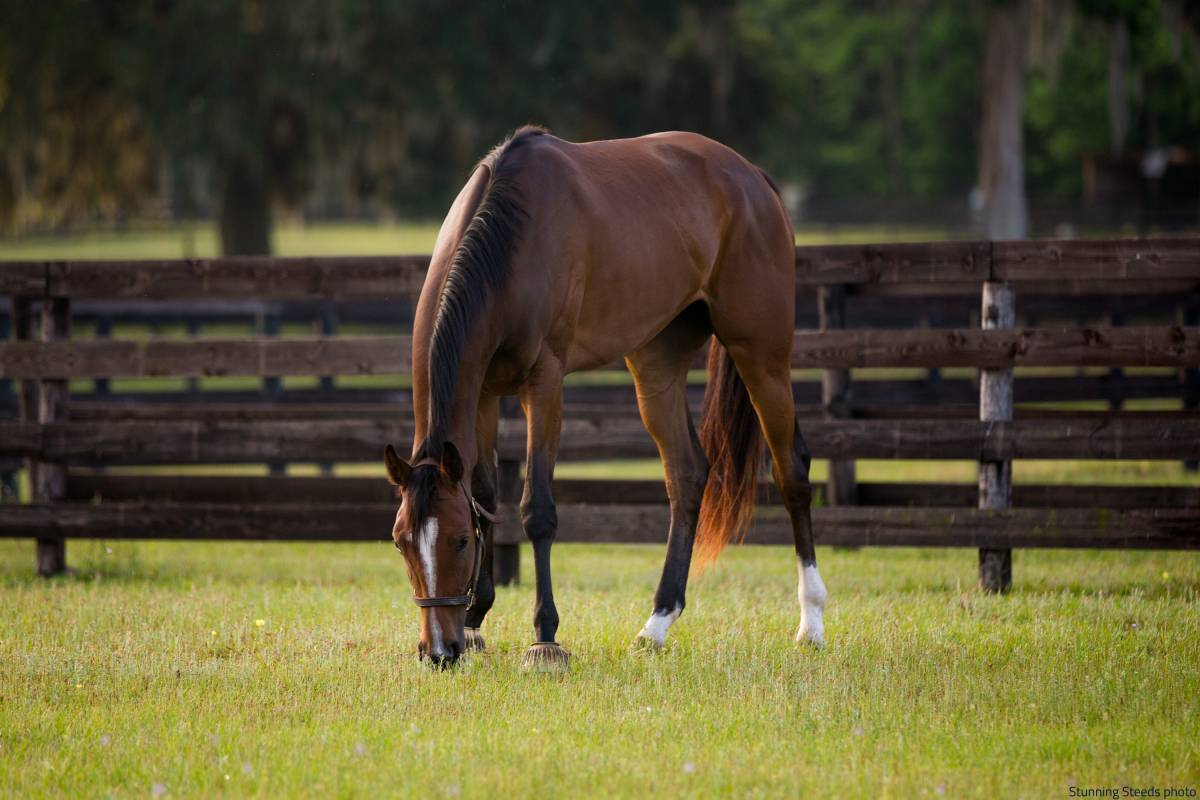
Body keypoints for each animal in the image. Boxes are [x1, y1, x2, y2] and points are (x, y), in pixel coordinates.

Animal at [384, 126, 825, 671]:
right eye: (401, 542)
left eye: (459, 540)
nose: (438, 651)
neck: (512, 236)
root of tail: (752, 178)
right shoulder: (483, 391)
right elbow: (485, 496)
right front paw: (475, 620)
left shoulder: (544, 383)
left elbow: (536, 509)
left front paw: (545, 638)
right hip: (656, 364)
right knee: (686, 475)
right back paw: (657, 624)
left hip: (761, 353)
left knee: (792, 473)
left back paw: (811, 623)